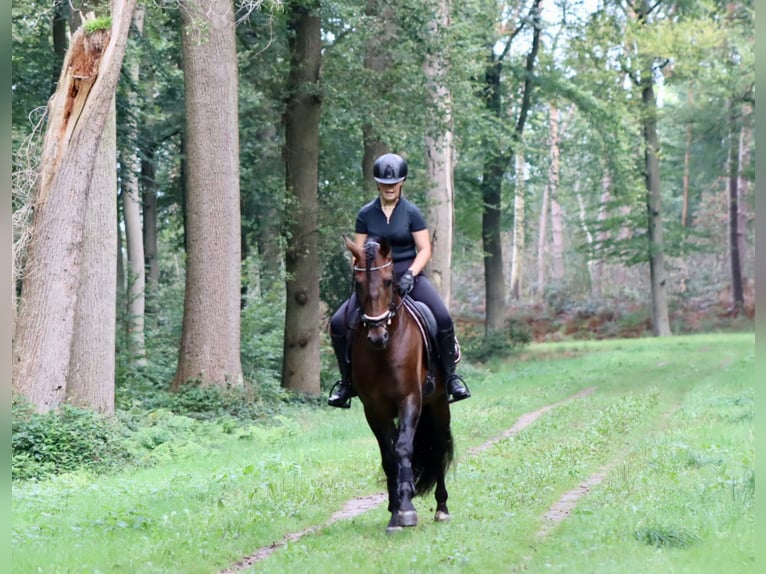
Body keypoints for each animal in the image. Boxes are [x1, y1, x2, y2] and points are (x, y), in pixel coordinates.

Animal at [344, 235, 454, 532]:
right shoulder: (375, 409)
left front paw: (406, 509)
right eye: (358, 283)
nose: (376, 336)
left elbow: (404, 448)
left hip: (438, 404)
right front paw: (395, 510)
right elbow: (389, 456)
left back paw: (442, 508)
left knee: (438, 448)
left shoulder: (410, 399)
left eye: (387, 281)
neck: (385, 350)